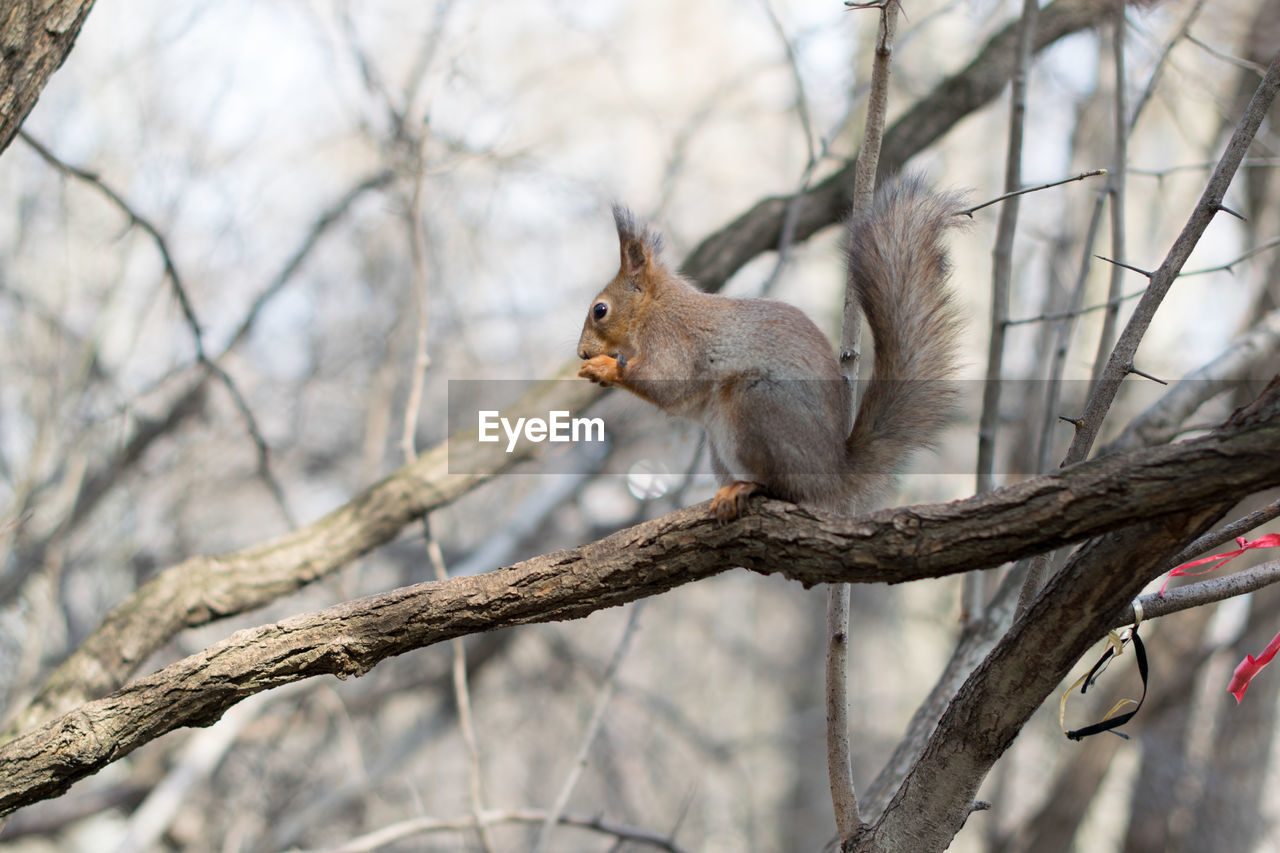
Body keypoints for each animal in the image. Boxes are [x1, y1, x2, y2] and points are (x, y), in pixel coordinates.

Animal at [578, 174, 962, 517]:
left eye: (600, 310)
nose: (581, 352)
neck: (653, 307)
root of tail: (833, 476)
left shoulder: (671, 338)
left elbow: (666, 381)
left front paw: (604, 368)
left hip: (755, 407)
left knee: (783, 487)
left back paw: (747, 487)